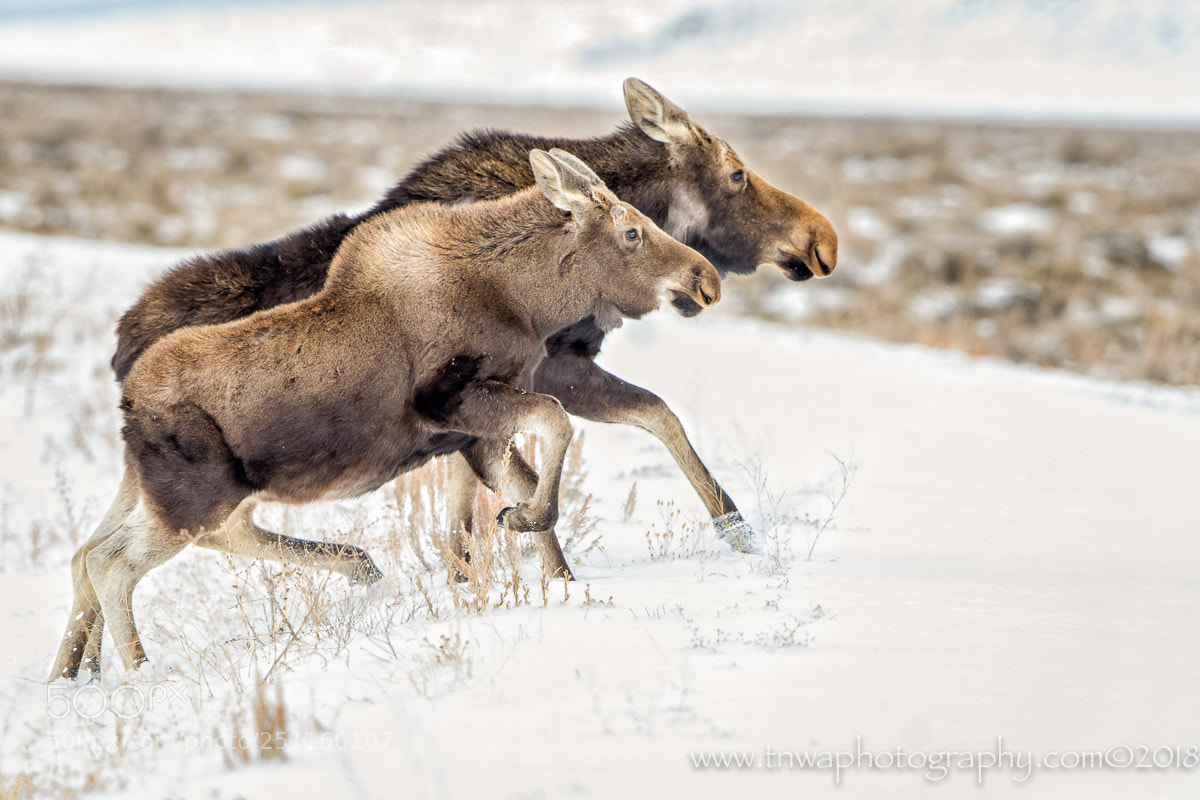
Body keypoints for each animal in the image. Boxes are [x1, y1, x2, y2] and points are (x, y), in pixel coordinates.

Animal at [49, 149, 721, 680]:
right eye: (631, 232)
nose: (706, 280)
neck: (524, 299)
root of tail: (127, 398)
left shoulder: (474, 430)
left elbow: (523, 479)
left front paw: (557, 575)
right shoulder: (453, 399)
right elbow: (553, 429)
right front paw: (525, 523)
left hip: (165, 490)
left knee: (90, 551)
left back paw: (74, 672)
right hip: (193, 499)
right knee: (113, 562)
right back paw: (141, 673)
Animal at [104, 79, 838, 588]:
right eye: (737, 174)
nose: (823, 239)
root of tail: (121, 357)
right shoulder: (547, 369)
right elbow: (647, 418)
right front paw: (730, 526)